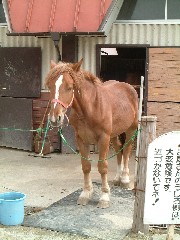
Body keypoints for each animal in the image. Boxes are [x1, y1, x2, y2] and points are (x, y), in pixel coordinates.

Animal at [45, 59, 139, 208]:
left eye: (69, 87)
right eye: (49, 86)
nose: (55, 118)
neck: (90, 108)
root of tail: (129, 87)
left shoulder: (104, 138)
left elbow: (102, 167)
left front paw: (104, 196)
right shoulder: (81, 139)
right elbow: (86, 166)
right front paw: (86, 193)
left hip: (131, 129)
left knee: (127, 150)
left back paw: (124, 179)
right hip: (114, 134)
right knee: (118, 149)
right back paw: (117, 178)